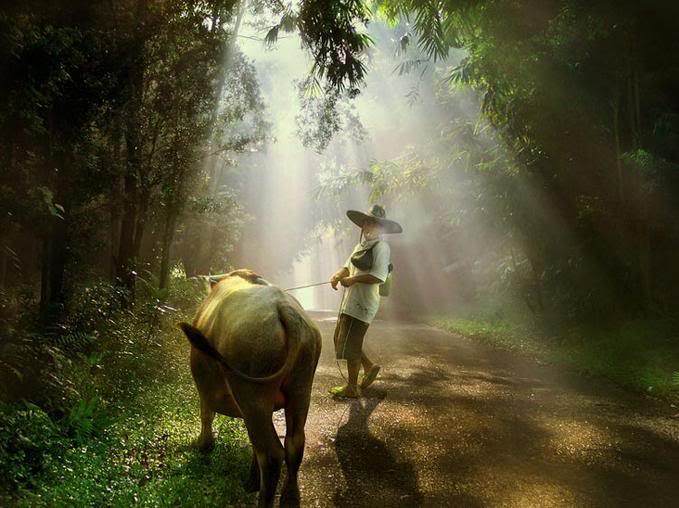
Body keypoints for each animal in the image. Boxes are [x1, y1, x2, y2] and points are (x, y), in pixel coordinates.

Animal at [178, 268, 322, 506]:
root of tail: (284, 308)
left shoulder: (206, 389)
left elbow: (206, 414)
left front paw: (204, 445)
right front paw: (252, 478)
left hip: (252, 396)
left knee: (271, 454)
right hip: (301, 390)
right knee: (294, 444)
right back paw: (289, 499)